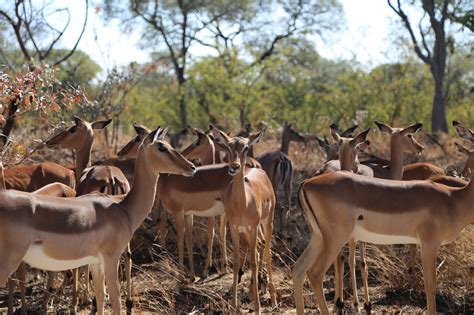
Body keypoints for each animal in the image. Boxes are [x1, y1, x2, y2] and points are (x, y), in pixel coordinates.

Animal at [0, 127, 196, 314]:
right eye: (161, 147)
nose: (192, 167)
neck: (122, 208)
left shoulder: (95, 262)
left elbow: (101, 297)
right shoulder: (111, 258)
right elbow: (115, 302)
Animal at [212, 128, 278, 314]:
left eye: (246, 147)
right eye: (228, 146)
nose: (234, 167)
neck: (243, 203)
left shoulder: (253, 226)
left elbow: (253, 263)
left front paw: (258, 307)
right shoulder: (235, 228)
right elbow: (236, 262)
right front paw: (234, 305)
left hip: (267, 222)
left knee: (268, 250)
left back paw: (273, 299)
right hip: (248, 231)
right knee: (259, 246)